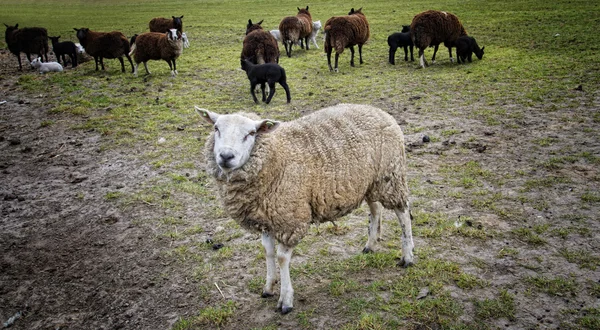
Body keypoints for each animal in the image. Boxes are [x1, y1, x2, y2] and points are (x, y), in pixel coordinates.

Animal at [195, 103, 414, 314]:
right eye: (216, 128)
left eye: (251, 133)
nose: (226, 156)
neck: (277, 155)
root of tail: (379, 111)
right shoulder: (266, 217)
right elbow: (268, 252)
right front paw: (269, 287)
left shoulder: (290, 218)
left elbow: (282, 258)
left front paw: (286, 300)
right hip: (367, 182)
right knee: (375, 209)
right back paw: (371, 244)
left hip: (390, 176)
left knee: (403, 213)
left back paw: (407, 256)